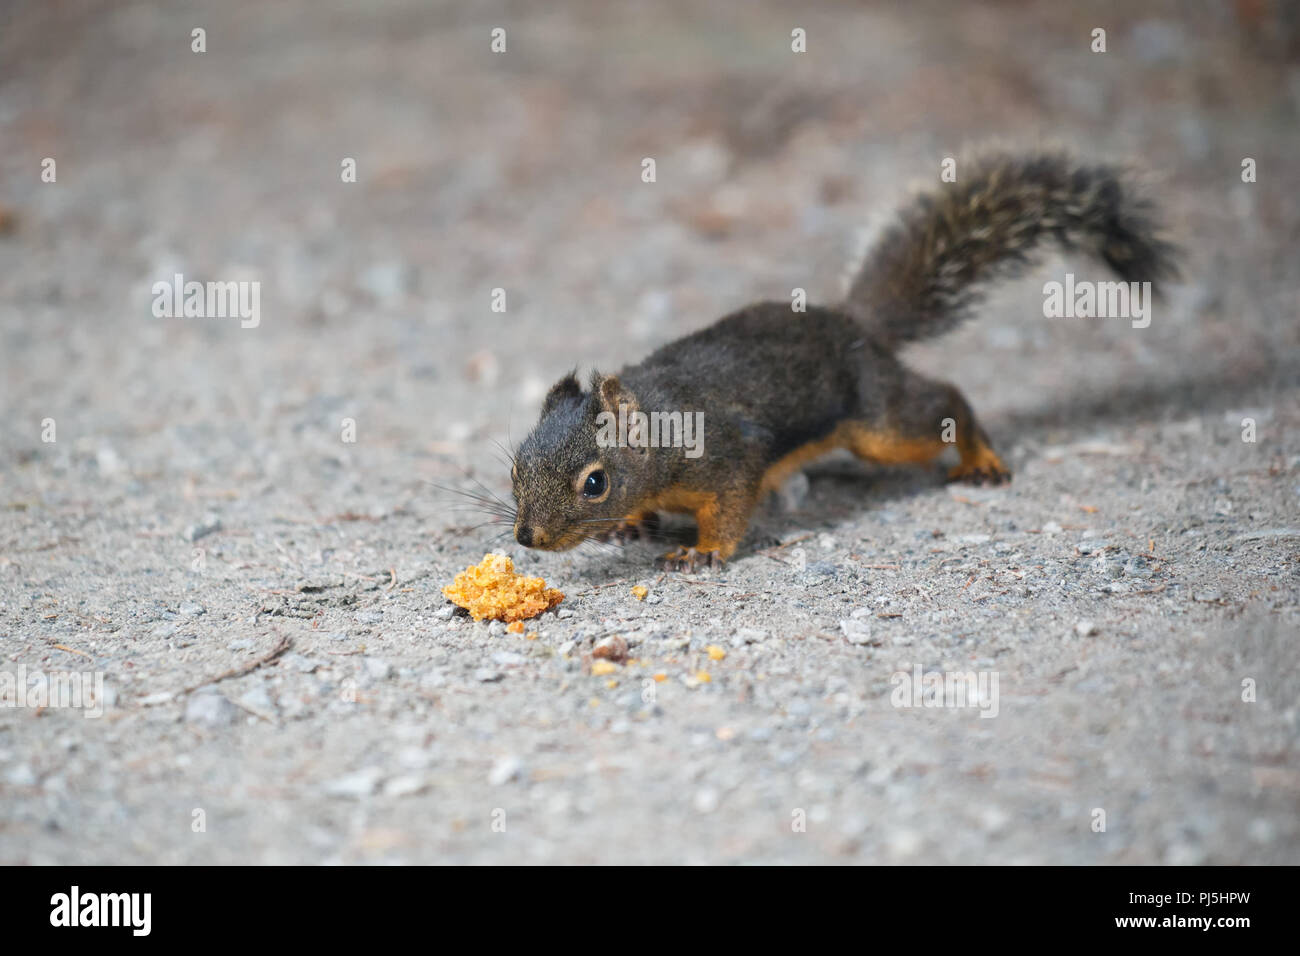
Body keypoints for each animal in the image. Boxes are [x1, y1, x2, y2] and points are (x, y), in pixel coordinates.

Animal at [508, 152, 1179, 570]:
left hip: (879, 425)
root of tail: (855, 326)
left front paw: (703, 551)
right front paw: (630, 523)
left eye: (595, 483)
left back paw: (980, 457)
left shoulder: (728, 457)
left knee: (943, 399)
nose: (527, 538)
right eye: (514, 469)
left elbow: (730, 510)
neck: (661, 429)